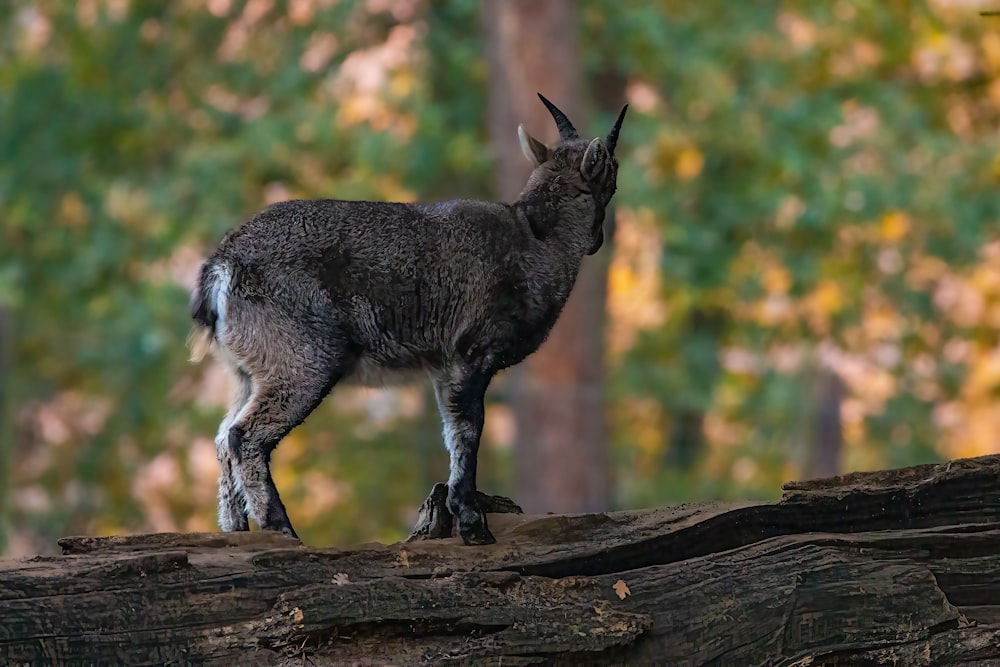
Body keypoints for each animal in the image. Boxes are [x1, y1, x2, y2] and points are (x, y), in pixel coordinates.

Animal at [188, 94, 624, 544]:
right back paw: (281, 529)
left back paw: (236, 530)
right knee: (244, 436)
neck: (536, 239)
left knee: (222, 437)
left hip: (247, 369)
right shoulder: (472, 352)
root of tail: (221, 266)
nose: (597, 241)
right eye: (612, 179)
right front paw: (473, 525)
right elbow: (469, 431)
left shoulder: (445, 367)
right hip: (303, 360)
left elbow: (452, 431)